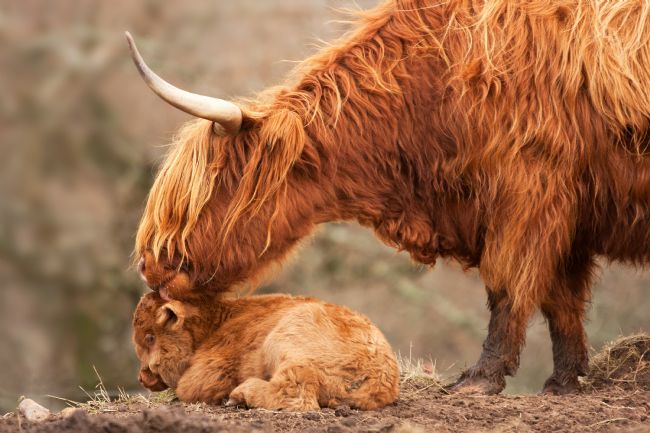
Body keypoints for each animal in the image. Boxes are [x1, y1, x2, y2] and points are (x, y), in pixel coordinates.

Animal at [127, 0, 650, 395]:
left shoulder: (528, 193)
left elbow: (509, 288)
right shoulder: (569, 213)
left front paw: (480, 379)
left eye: (206, 192)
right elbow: (562, 300)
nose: (149, 266)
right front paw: (566, 381)